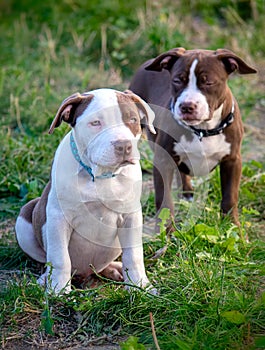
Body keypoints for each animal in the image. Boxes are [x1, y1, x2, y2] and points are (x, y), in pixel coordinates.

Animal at [129, 47, 255, 226]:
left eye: (208, 82)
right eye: (177, 81)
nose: (187, 106)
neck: (203, 130)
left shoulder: (233, 160)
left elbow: (230, 196)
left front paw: (233, 226)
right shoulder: (163, 160)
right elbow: (165, 200)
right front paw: (166, 230)